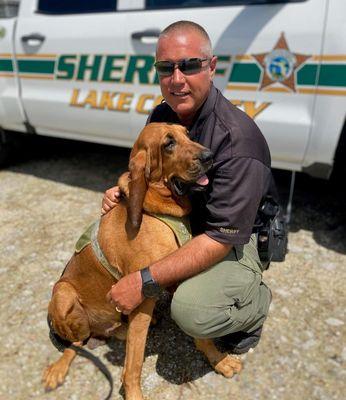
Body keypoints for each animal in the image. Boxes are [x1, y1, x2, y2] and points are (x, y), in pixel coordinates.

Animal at [43, 122, 242, 400]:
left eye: (187, 134)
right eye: (168, 143)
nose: (209, 156)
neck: (154, 207)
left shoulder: (172, 275)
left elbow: (201, 336)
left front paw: (219, 360)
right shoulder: (140, 294)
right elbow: (134, 363)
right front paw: (134, 392)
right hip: (63, 293)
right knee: (77, 343)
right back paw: (58, 369)